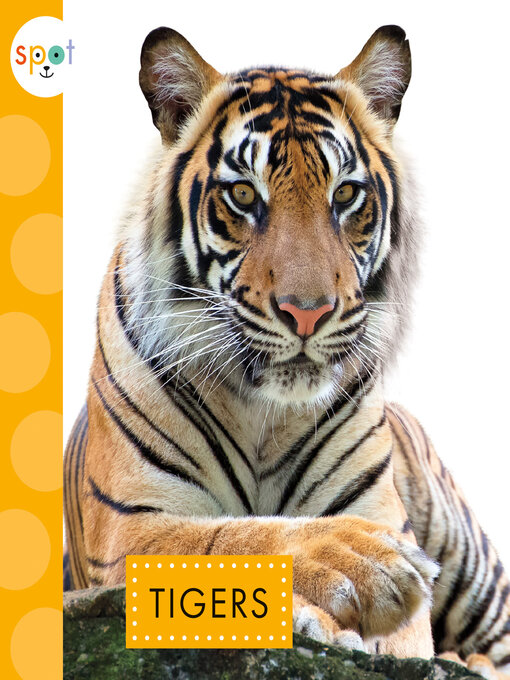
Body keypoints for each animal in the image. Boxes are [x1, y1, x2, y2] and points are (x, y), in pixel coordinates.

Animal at [64, 24, 510, 677]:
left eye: (345, 195)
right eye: (244, 196)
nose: (307, 312)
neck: (264, 414)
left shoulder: (381, 512)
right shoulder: (130, 526)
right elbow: (233, 537)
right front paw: (356, 567)